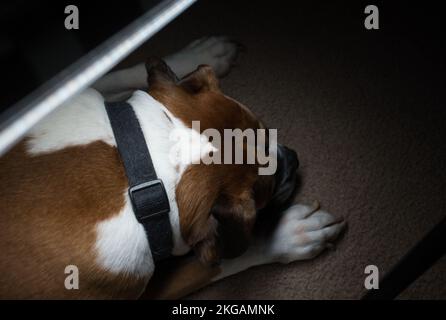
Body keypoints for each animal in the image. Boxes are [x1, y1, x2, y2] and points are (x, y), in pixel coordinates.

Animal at [0, 37, 344, 300]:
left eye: (264, 128)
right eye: (265, 190)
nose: (294, 158)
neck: (138, 161)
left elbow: (105, 73)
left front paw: (198, 54)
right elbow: (213, 262)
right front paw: (288, 236)